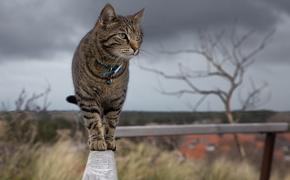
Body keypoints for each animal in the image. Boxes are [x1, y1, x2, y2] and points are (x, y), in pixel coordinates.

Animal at [66, 3, 144, 150]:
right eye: (123, 36)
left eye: (138, 37)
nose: (136, 48)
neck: (109, 66)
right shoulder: (87, 97)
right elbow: (93, 121)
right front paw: (97, 141)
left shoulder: (116, 100)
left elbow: (111, 122)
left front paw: (109, 140)